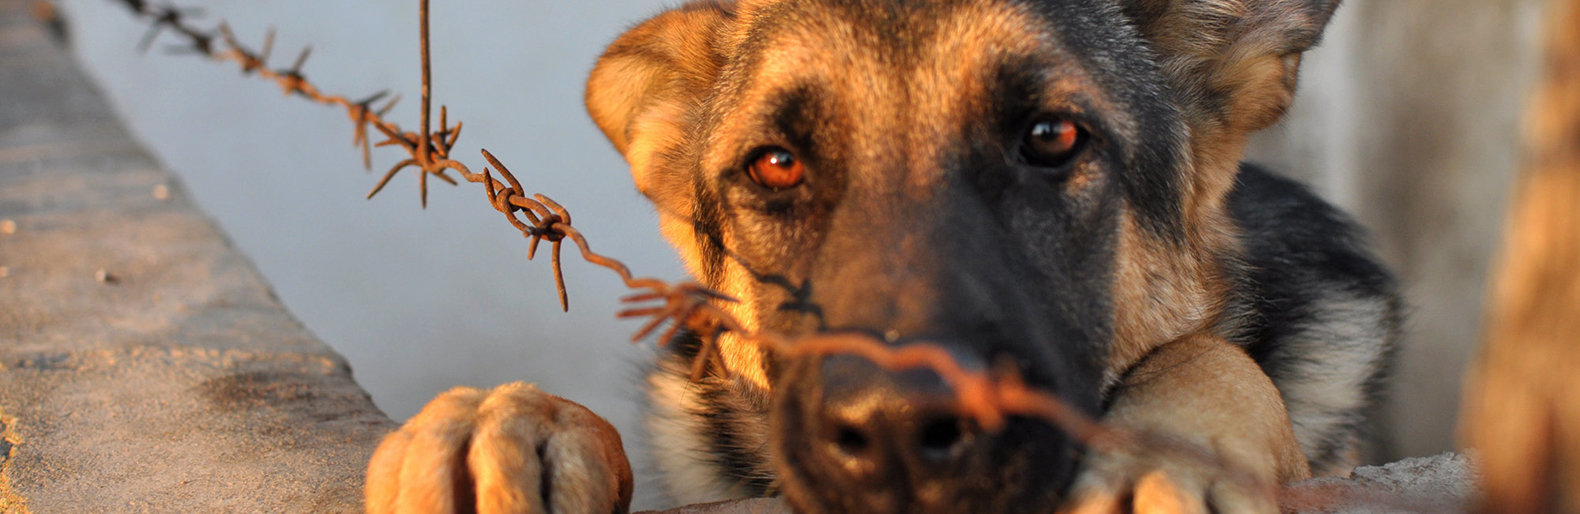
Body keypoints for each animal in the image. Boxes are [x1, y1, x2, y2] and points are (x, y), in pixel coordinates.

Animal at [363, 0, 1403, 509]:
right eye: (776, 164)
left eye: (1052, 138)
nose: (900, 429)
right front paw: (501, 420)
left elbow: (1207, 356)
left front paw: (1165, 447)